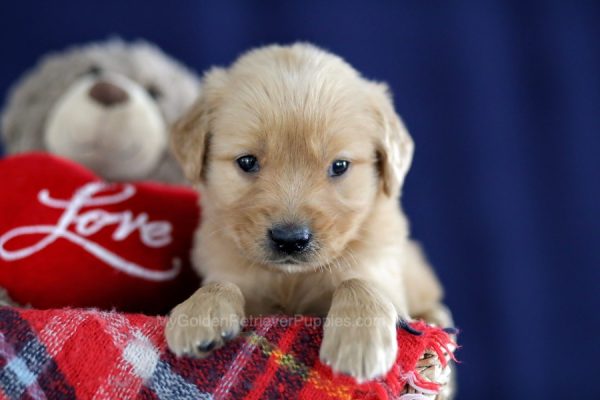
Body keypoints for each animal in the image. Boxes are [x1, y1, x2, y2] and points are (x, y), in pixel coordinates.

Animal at [164, 43, 450, 382]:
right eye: (247, 162)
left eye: (339, 166)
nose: (290, 240)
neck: (291, 280)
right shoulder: (230, 273)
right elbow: (222, 283)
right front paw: (199, 313)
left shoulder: (380, 269)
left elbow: (358, 281)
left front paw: (359, 341)